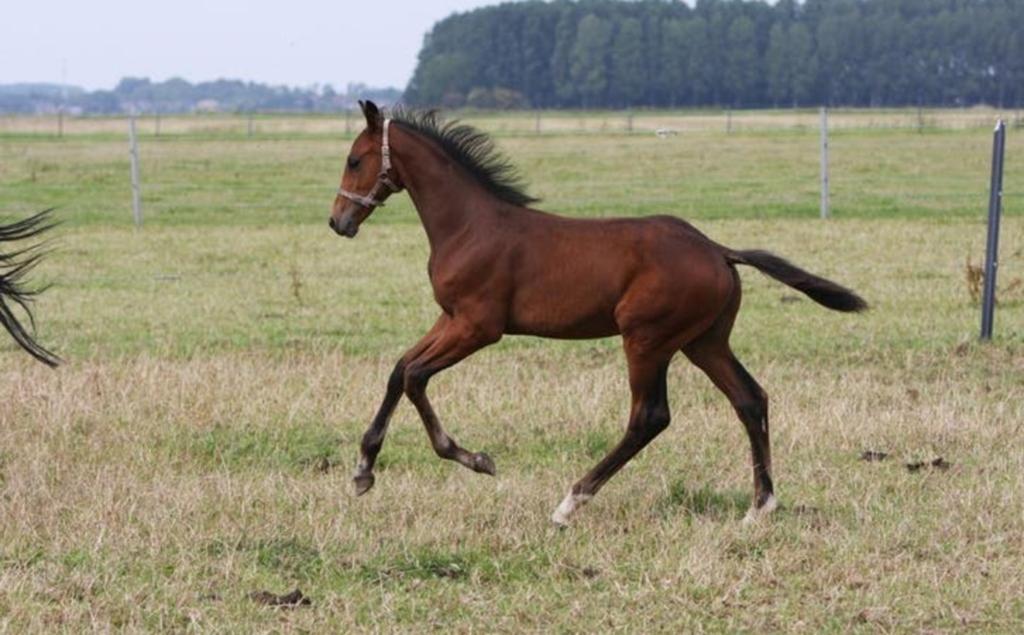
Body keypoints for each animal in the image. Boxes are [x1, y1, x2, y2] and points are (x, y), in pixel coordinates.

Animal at [330, 101, 865, 525]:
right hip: (704, 341)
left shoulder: (478, 326)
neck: (470, 225)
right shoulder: (450, 318)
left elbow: (415, 375)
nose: (338, 222)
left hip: (647, 339)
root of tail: (717, 250)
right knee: (750, 399)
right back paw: (760, 506)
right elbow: (399, 370)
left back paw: (571, 502)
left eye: (354, 159)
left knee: (650, 417)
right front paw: (363, 471)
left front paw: (474, 458)